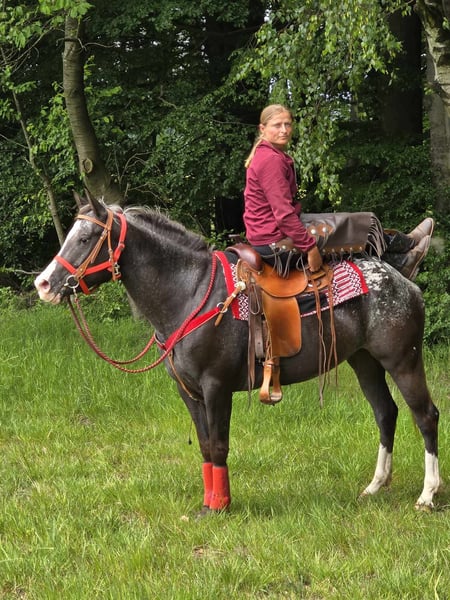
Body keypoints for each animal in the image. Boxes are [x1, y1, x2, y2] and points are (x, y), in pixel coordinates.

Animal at [34, 194, 440, 513]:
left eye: (85, 237)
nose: (44, 284)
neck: (190, 293)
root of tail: (400, 277)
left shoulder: (216, 387)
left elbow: (218, 445)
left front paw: (220, 506)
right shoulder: (188, 391)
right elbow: (204, 447)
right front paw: (208, 503)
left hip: (403, 360)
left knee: (425, 415)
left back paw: (427, 495)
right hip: (364, 361)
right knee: (385, 413)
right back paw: (375, 486)